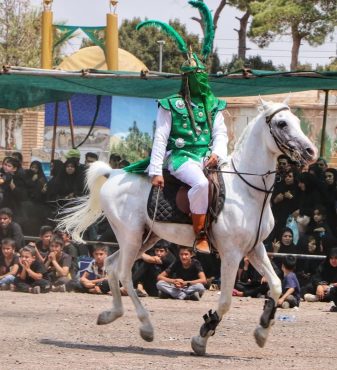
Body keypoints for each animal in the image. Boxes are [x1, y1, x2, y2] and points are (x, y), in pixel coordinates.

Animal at [59, 98, 316, 356]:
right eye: (282, 123)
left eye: (297, 121)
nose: (311, 152)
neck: (246, 189)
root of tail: (113, 173)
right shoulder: (231, 253)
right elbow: (225, 301)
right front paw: (202, 336)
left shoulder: (255, 248)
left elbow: (275, 285)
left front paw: (262, 329)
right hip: (131, 236)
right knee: (123, 273)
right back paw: (146, 326)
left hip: (146, 238)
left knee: (112, 266)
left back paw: (111, 314)